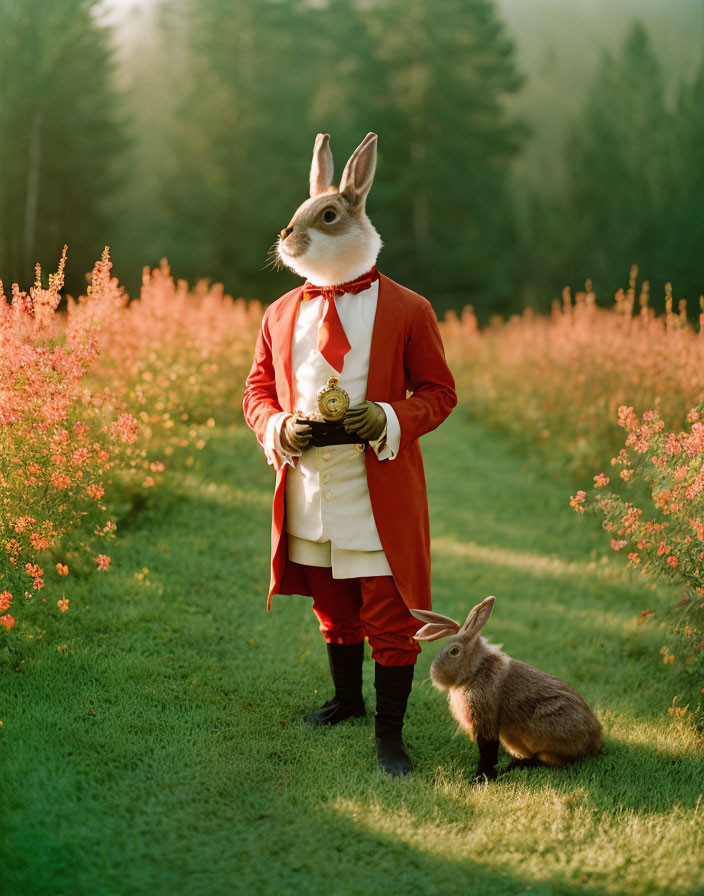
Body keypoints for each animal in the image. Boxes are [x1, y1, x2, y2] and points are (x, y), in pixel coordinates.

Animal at [412, 600, 604, 780]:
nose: (434, 674)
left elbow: (487, 751)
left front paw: (480, 779)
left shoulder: (484, 718)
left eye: (454, 651)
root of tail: (595, 742)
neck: (475, 670)